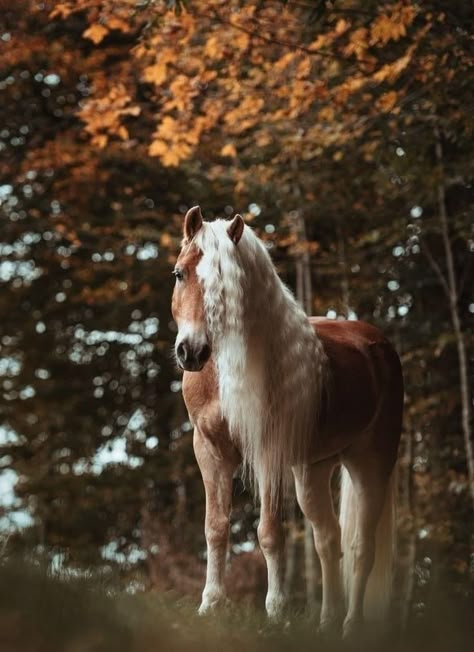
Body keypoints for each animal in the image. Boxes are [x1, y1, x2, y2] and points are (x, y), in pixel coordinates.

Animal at [172, 205, 402, 636]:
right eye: (179, 273)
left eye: (229, 286)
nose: (191, 352)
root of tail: (376, 343)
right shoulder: (209, 450)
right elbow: (215, 526)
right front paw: (210, 605)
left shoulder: (269, 453)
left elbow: (269, 533)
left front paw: (275, 610)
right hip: (313, 470)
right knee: (328, 539)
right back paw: (327, 623)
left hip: (370, 463)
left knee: (361, 548)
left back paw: (351, 626)